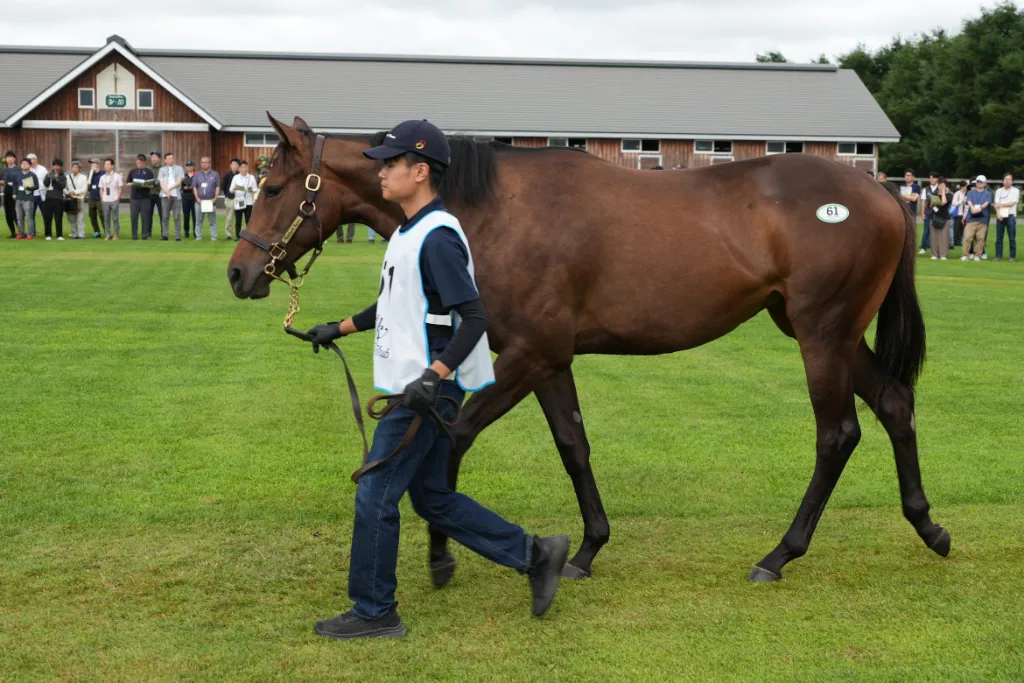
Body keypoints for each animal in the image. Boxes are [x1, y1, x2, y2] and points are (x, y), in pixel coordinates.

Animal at [228, 115, 949, 585]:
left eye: (272, 189)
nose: (239, 273)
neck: (493, 210)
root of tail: (881, 191)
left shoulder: (527, 353)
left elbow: (455, 435)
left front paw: (442, 553)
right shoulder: (552, 360)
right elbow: (573, 445)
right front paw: (588, 549)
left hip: (821, 334)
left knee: (838, 434)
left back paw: (780, 554)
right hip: (830, 333)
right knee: (894, 403)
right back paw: (928, 526)